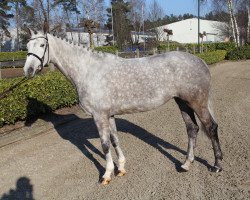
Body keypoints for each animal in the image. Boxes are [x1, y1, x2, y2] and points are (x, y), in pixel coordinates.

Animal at [23, 27, 223, 185]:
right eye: (27, 47)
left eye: (42, 45)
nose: (28, 71)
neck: (89, 70)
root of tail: (200, 61)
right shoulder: (109, 115)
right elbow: (115, 140)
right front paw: (121, 168)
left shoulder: (99, 116)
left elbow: (104, 145)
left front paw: (107, 175)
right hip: (182, 102)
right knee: (192, 129)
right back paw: (186, 164)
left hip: (197, 102)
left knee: (211, 127)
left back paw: (217, 165)